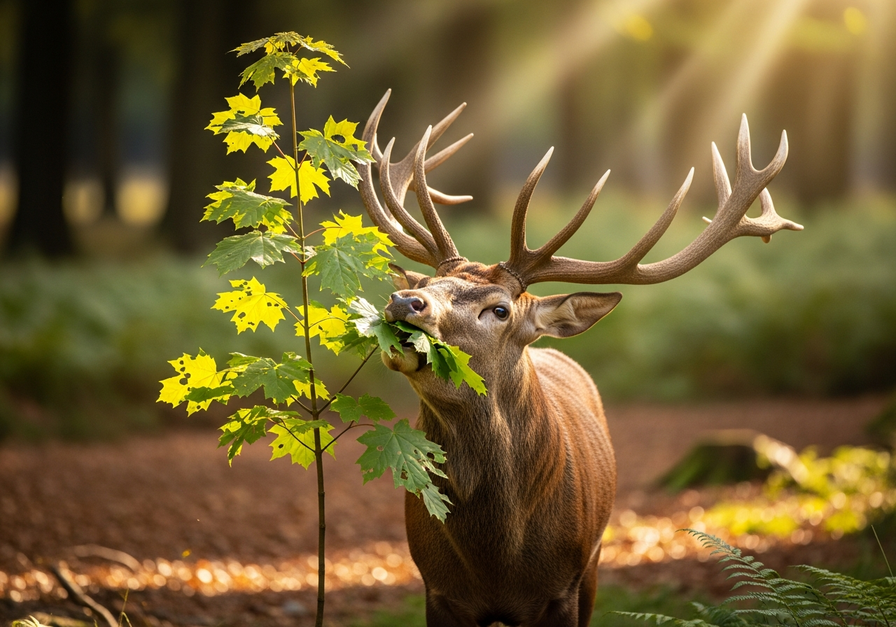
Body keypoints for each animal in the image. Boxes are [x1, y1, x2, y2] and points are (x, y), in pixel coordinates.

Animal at [358, 90, 802, 627]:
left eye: (500, 309)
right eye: (423, 282)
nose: (405, 303)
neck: (495, 558)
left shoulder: (563, 586)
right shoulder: (438, 590)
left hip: (594, 562)